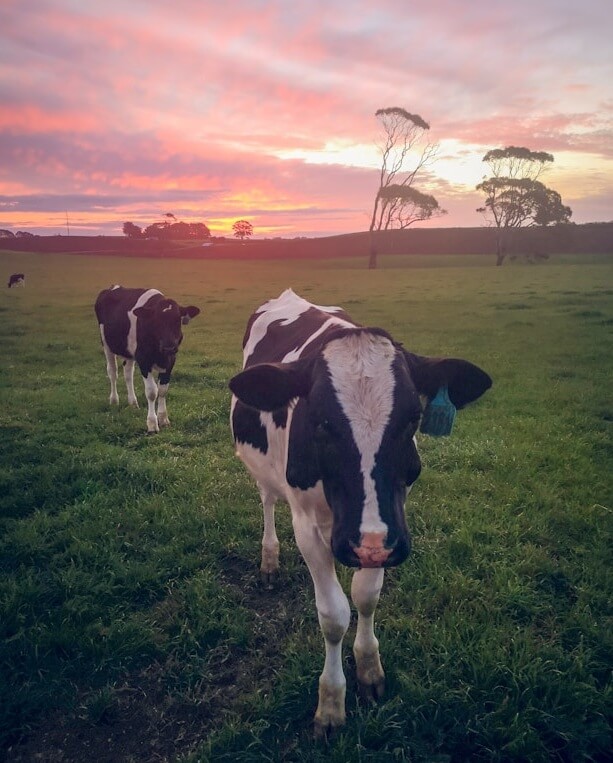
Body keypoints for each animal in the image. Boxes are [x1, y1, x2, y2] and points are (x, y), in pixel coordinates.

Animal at [95, 286, 200, 433]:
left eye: (177, 320)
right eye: (156, 321)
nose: (169, 347)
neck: (160, 353)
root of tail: (112, 287)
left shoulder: (171, 360)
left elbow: (163, 390)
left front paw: (163, 419)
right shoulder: (143, 360)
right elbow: (151, 392)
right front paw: (152, 424)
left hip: (129, 352)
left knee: (128, 373)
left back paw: (133, 403)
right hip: (106, 344)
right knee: (113, 372)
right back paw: (114, 400)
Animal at [229, 288, 492, 736]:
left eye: (413, 418)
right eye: (320, 422)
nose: (365, 542)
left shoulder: (385, 531)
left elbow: (366, 597)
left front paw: (369, 669)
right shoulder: (308, 525)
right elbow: (333, 614)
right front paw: (331, 703)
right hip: (263, 469)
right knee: (267, 499)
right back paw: (269, 559)